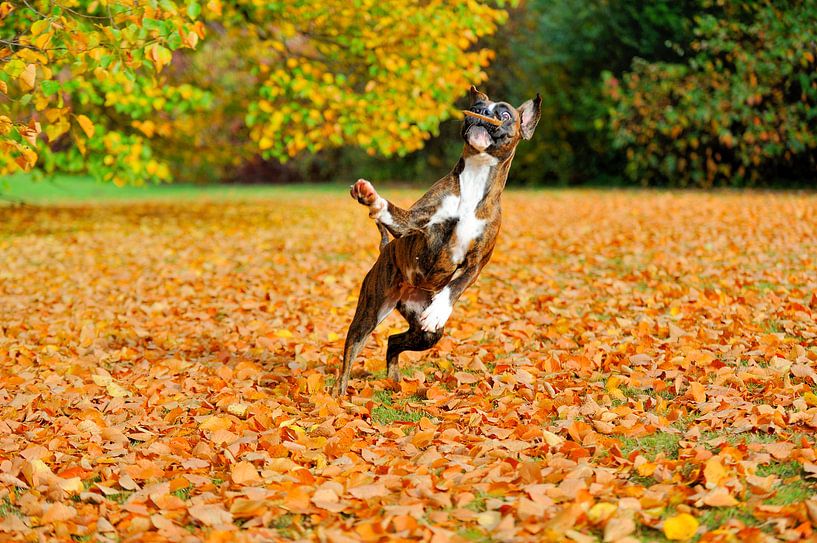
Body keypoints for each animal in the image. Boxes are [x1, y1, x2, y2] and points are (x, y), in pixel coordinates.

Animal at [334, 87, 540, 398]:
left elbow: (456, 285)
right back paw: (338, 396)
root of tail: (385, 251)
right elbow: (392, 213)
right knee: (351, 353)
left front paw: (440, 310)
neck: (475, 181)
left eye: (504, 114)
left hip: (426, 334)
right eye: (478, 105)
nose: (482, 111)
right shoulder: (412, 224)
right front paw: (372, 199)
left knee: (394, 341)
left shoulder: (477, 263)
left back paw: (393, 379)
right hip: (369, 313)